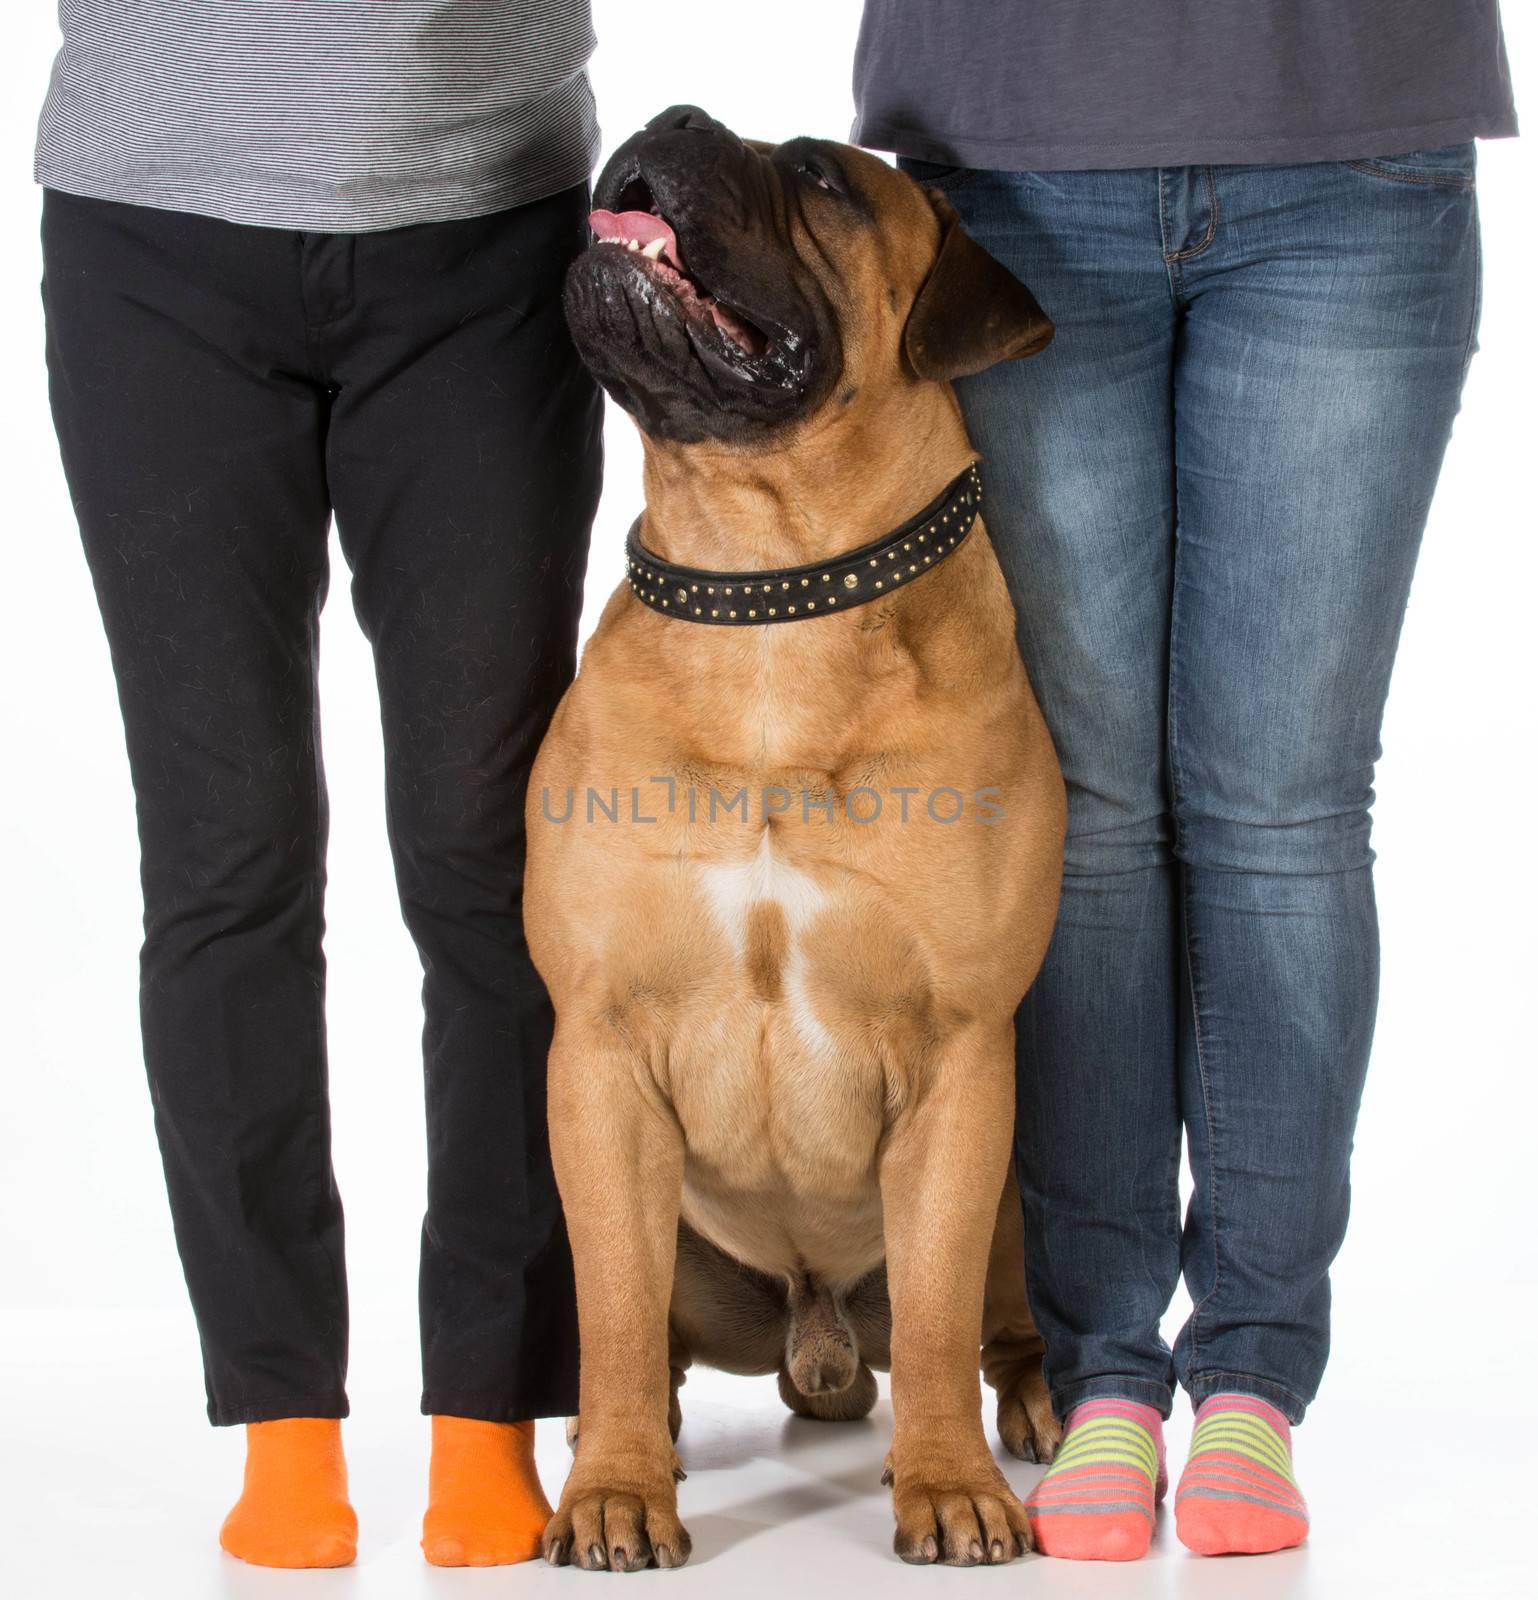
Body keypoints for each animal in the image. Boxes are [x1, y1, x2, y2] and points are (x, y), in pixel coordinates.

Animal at [521, 106, 1062, 1568]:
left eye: (821, 176)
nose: (667, 117)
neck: (769, 590)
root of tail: (812, 1334)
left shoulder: (961, 1061)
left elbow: (933, 1311)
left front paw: (948, 1487)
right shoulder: (597, 1051)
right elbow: (608, 1308)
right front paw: (613, 1490)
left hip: (1012, 1190)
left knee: (991, 1320)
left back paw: (1034, 1408)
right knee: (640, 1333)